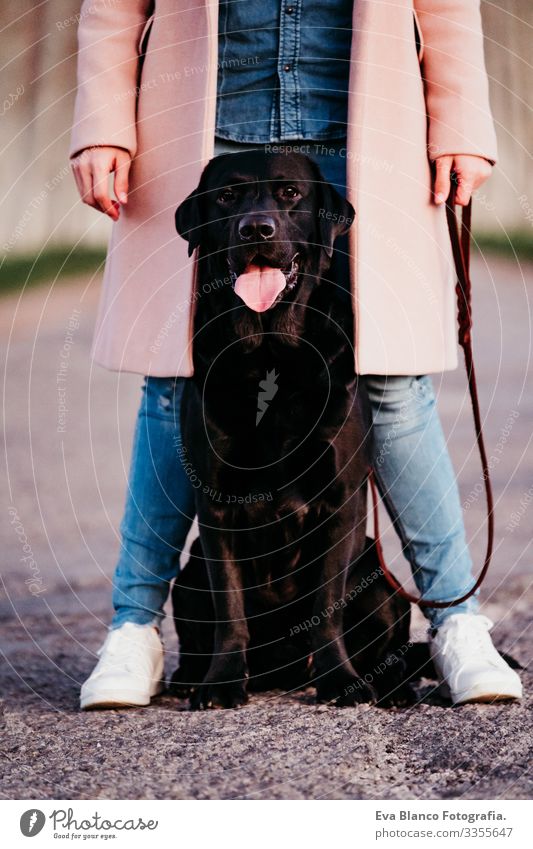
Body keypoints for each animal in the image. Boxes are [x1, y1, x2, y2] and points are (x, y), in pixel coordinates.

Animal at [172, 151, 418, 708]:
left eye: (290, 194)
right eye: (226, 196)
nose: (256, 229)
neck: (269, 349)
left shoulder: (342, 497)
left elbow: (325, 605)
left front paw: (340, 680)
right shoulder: (215, 502)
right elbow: (231, 607)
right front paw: (222, 682)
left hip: (377, 576)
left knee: (396, 646)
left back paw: (390, 684)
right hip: (188, 576)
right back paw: (188, 677)